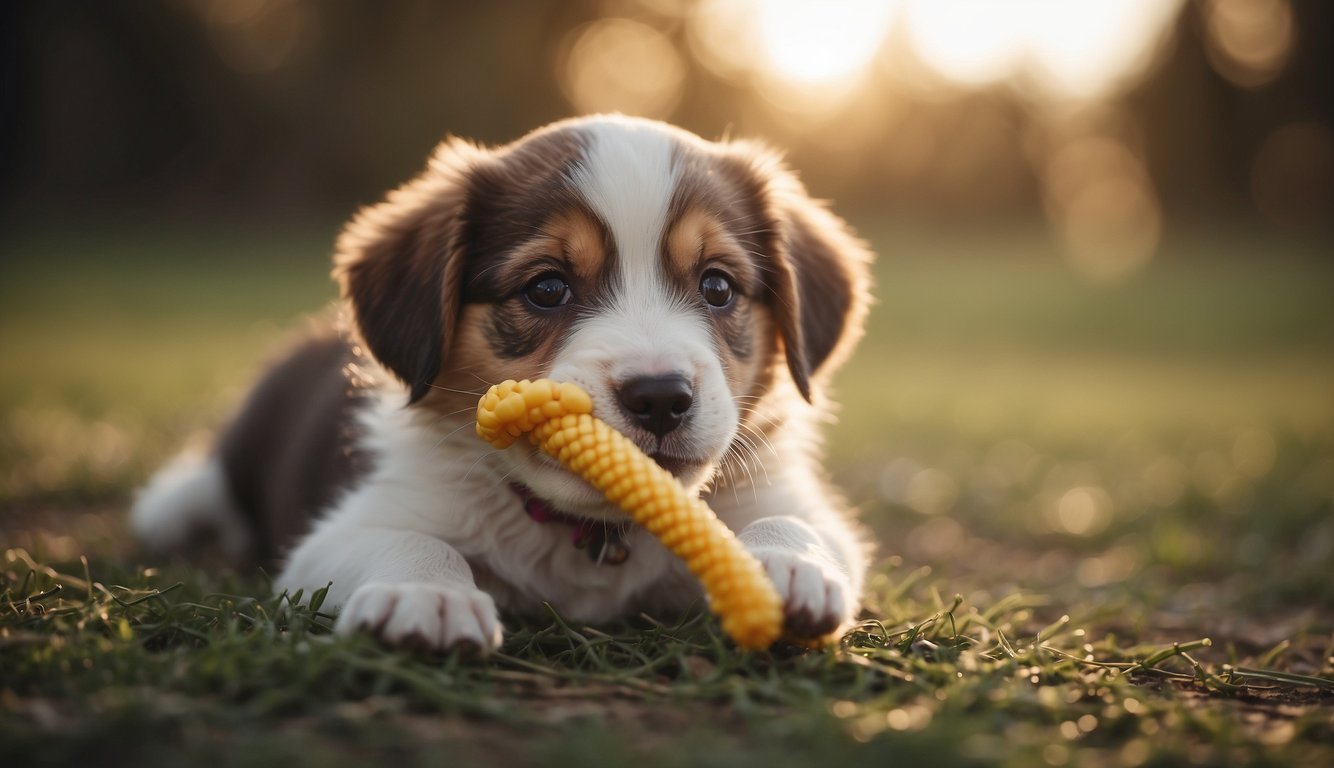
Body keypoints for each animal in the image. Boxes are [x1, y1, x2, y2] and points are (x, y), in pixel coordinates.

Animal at [132, 114, 875, 650]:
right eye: (547, 288)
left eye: (717, 286)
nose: (661, 397)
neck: (587, 529)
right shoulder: (337, 535)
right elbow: (410, 540)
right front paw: (427, 595)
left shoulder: (786, 497)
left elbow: (793, 522)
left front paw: (788, 565)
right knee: (206, 482)